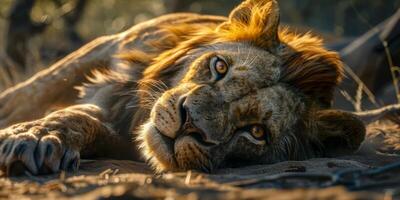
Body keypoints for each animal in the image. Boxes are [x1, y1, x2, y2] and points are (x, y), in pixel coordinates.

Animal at [0, 0, 364, 175]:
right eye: (220, 67)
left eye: (257, 132)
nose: (189, 123)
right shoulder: (103, 51)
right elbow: (26, 96)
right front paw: (31, 135)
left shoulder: (119, 136)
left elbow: (82, 119)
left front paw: (42, 137)